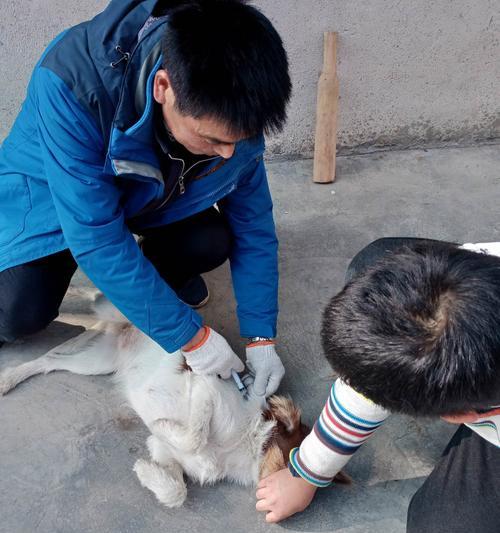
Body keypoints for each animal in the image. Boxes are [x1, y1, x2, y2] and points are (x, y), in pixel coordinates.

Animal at [0, 296, 348, 508]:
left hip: (98, 362)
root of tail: (129, 326)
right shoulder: (207, 386)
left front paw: (147, 473)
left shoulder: (164, 451)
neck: (245, 443)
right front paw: (164, 426)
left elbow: (176, 489)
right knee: (48, 357)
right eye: (293, 467)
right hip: (101, 350)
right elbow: (193, 435)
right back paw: (9, 377)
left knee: (52, 361)